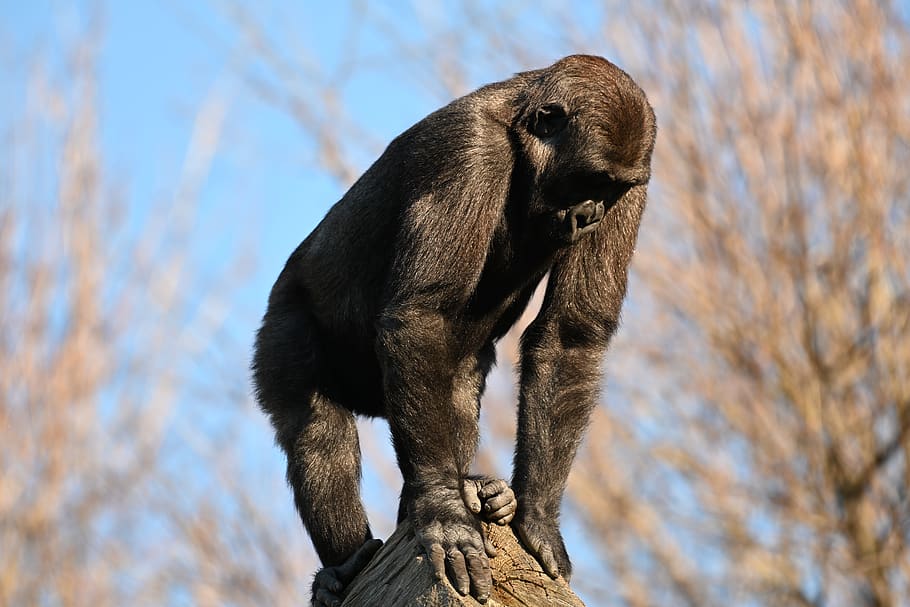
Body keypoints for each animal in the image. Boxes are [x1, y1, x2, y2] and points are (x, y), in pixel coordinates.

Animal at [251, 54, 656, 606]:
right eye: (589, 180)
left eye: (612, 188)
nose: (591, 213)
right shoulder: (468, 151)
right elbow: (422, 315)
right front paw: (445, 513)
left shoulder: (638, 177)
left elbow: (570, 335)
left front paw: (537, 518)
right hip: (283, 317)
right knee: (317, 427)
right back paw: (345, 568)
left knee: (456, 395)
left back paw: (473, 494)